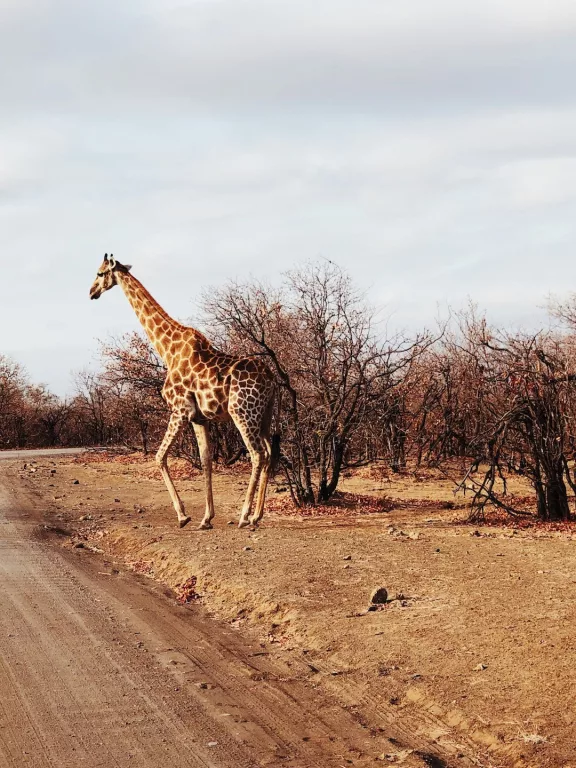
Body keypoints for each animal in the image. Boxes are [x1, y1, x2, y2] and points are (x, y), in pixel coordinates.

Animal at [89, 255, 278, 532]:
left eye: (100, 273)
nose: (91, 292)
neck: (167, 349)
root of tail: (272, 379)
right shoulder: (199, 417)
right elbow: (206, 459)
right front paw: (206, 518)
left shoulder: (179, 410)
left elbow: (159, 457)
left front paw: (183, 515)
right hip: (264, 415)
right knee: (270, 452)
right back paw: (256, 516)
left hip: (242, 412)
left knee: (257, 454)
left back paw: (244, 516)